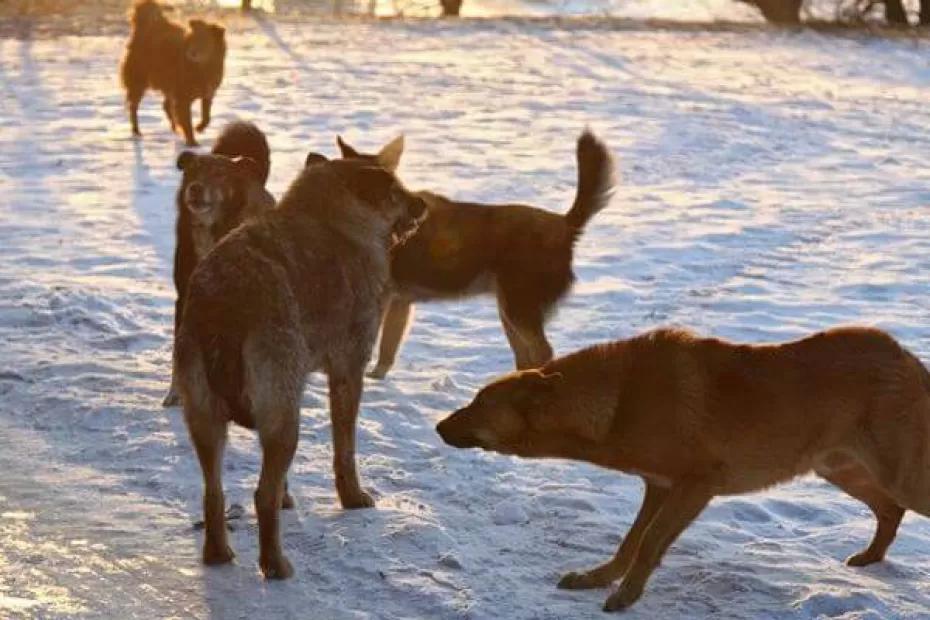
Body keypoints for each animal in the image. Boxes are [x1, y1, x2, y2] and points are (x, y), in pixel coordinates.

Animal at [119, 0, 225, 146]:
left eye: (204, 41)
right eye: (193, 39)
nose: (191, 53)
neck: (201, 68)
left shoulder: (207, 93)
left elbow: (206, 116)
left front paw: (200, 127)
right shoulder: (183, 98)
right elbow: (187, 121)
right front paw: (192, 142)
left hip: (167, 83)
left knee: (166, 105)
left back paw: (174, 128)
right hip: (139, 83)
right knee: (133, 107)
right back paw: (136, 131)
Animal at [436, 326, 928, 612]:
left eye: (479, 404)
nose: (438, 425)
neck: (617, 400)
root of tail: (908, 357)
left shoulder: (696, 484)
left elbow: (649, 543)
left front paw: (625, 596)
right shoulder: (658, 487)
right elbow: (631, 542)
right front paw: (600, 579)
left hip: (896, 475)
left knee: (898, 506)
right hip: (841, 469)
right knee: (889, 511)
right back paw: (870, 558)